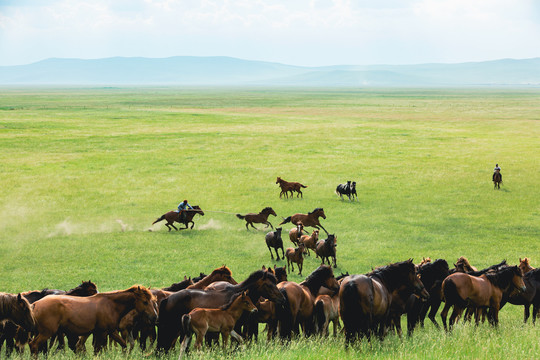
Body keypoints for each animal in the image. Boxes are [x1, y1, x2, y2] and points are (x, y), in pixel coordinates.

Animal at [29, 286, 157, 354]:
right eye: (145, 302)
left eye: (152, 301)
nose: (154, 316)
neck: (111, 305)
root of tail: (35, 304)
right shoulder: (104, 332)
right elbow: (98, 350)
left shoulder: (110, 331)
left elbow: (124, 345)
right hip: (47, 332)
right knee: (34, 345)